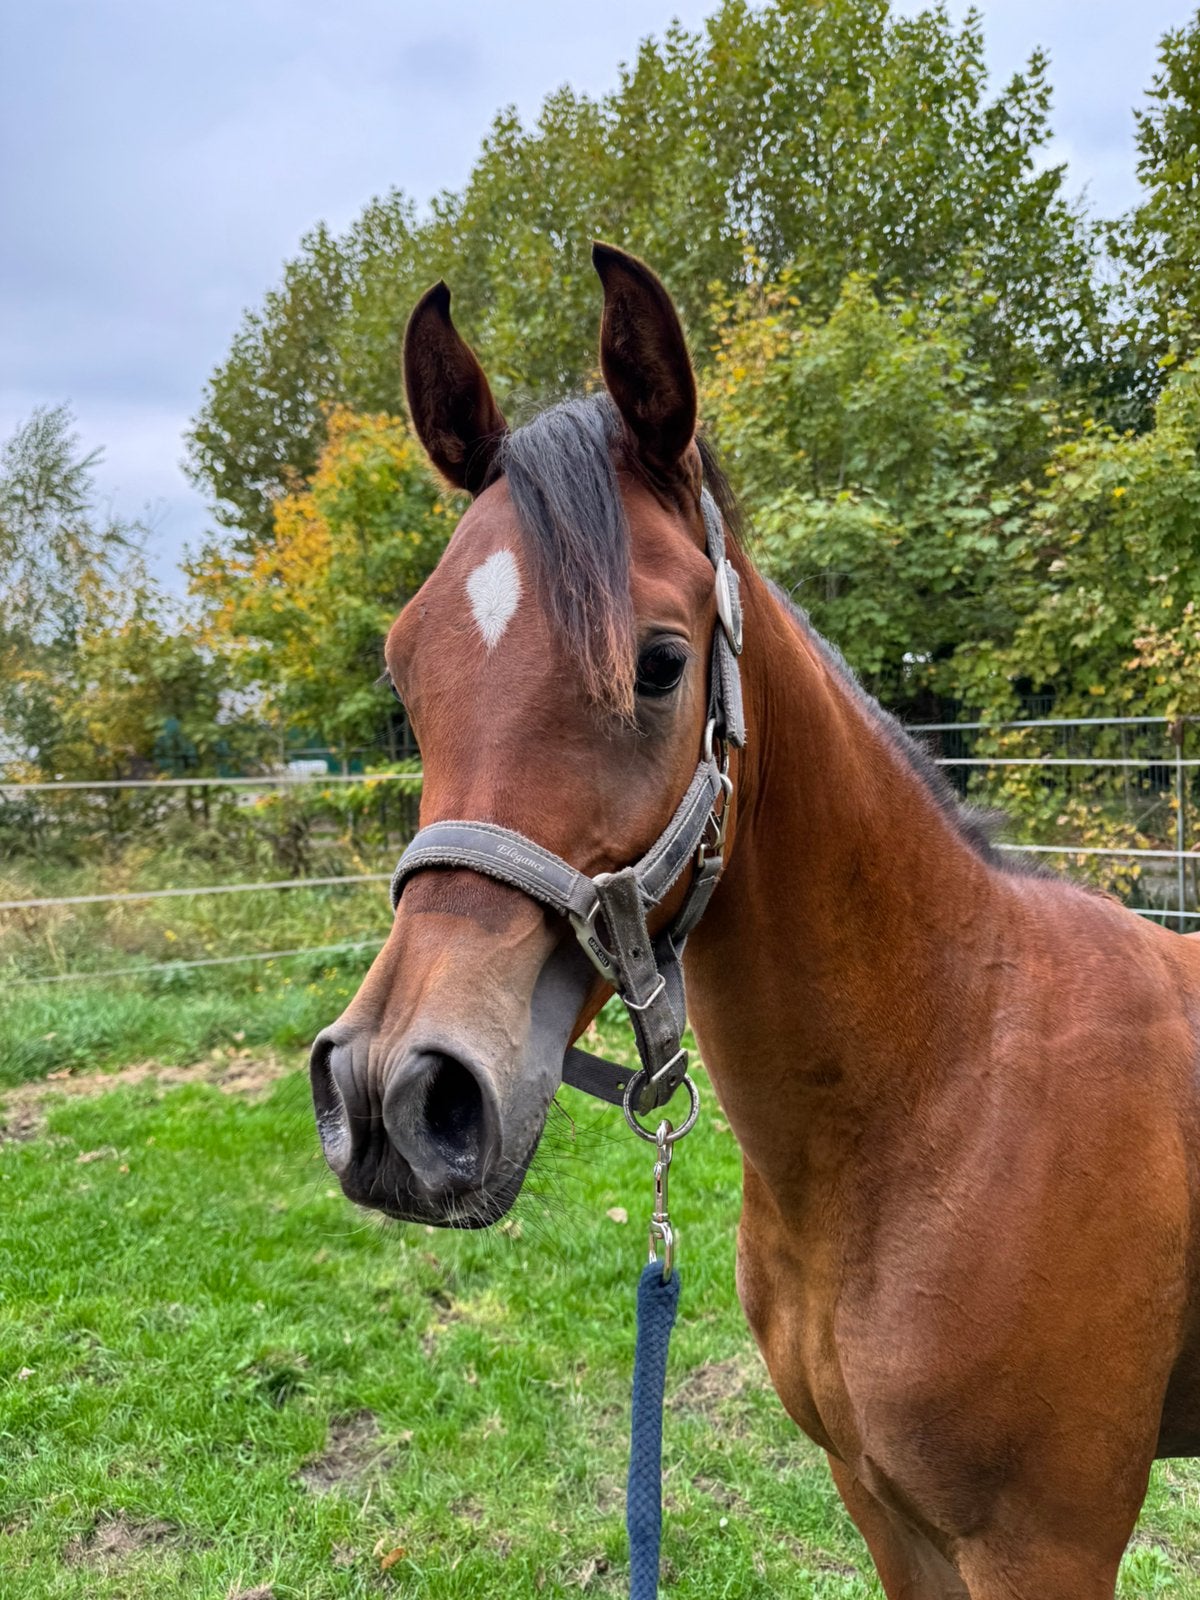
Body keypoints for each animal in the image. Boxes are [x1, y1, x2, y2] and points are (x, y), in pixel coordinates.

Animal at [309, 243, 1200, 1597]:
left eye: (661, 663)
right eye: (407, 674)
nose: (391, 1094)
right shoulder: (882, 1505)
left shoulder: (1045, 1543)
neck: (950, 1080)